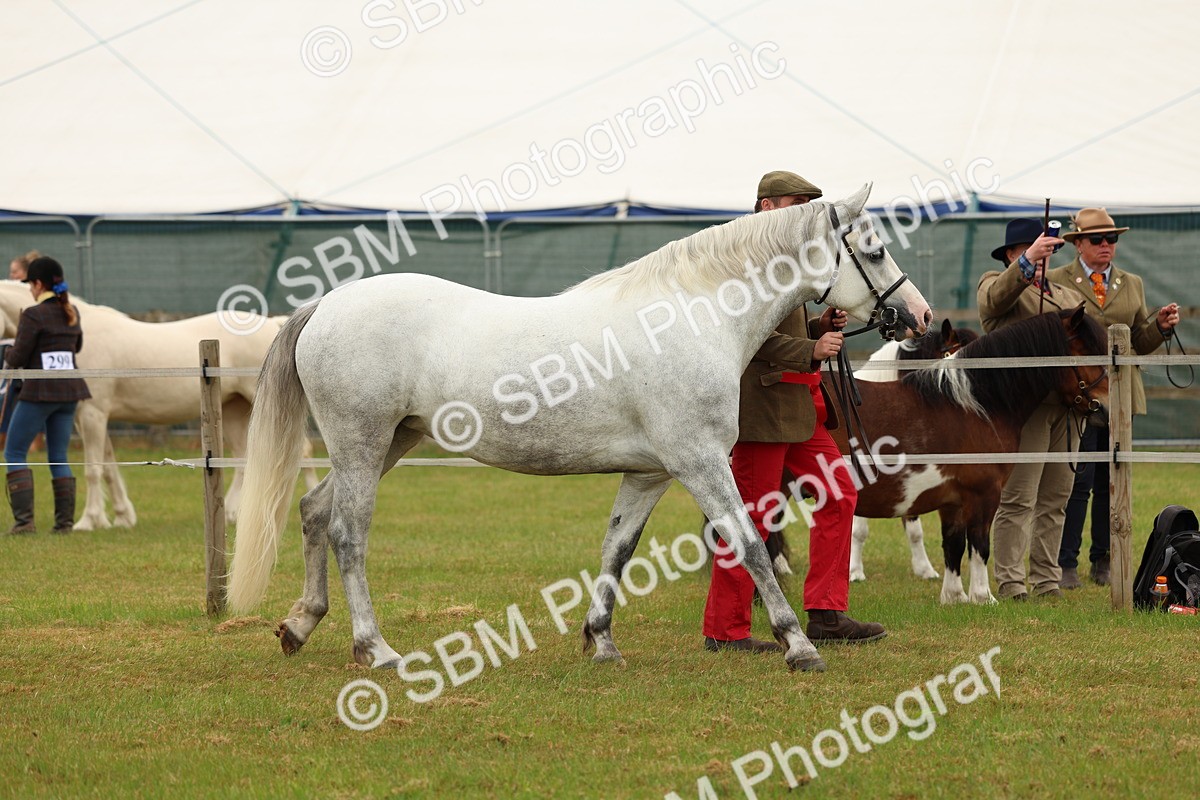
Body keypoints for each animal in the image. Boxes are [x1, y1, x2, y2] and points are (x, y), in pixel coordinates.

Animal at [0, 283, 319, 529]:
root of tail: (275, 326)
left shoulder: (93, 415)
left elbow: (93, 469)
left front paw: (89, 520)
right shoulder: (92, 417)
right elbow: (109, 466)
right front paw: (122, 517)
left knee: (300, 451)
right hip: (234, 409)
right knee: (245, 457)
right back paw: (233, 513)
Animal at [226, 184, 933, 674]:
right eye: (873, 249)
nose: (919, 314)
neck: (690, 315)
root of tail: (327, 304)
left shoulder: (650, 473)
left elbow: (616, 550)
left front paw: (600, 640)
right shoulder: (701, 462)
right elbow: (752, 544)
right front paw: (798, 644)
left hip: (386, 444)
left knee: (315, 513)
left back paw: (299, 626)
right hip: (362, 442)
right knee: (347, 535)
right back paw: (376, 649)